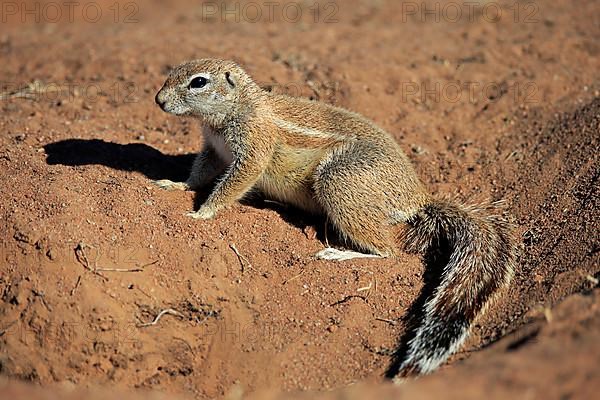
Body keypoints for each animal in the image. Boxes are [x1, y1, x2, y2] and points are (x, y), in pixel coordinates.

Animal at [152, 58, 512, 376]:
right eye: (172, 71)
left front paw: (201, 213)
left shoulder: (253, 148)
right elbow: (200, 173)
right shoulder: (213, 150)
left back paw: (339, 254)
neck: (237, 108)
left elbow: (233, 183)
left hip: (337, 180)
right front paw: (174, 185)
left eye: (198, 82)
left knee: (388, 252)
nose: (159, 100)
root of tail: (418, 198)